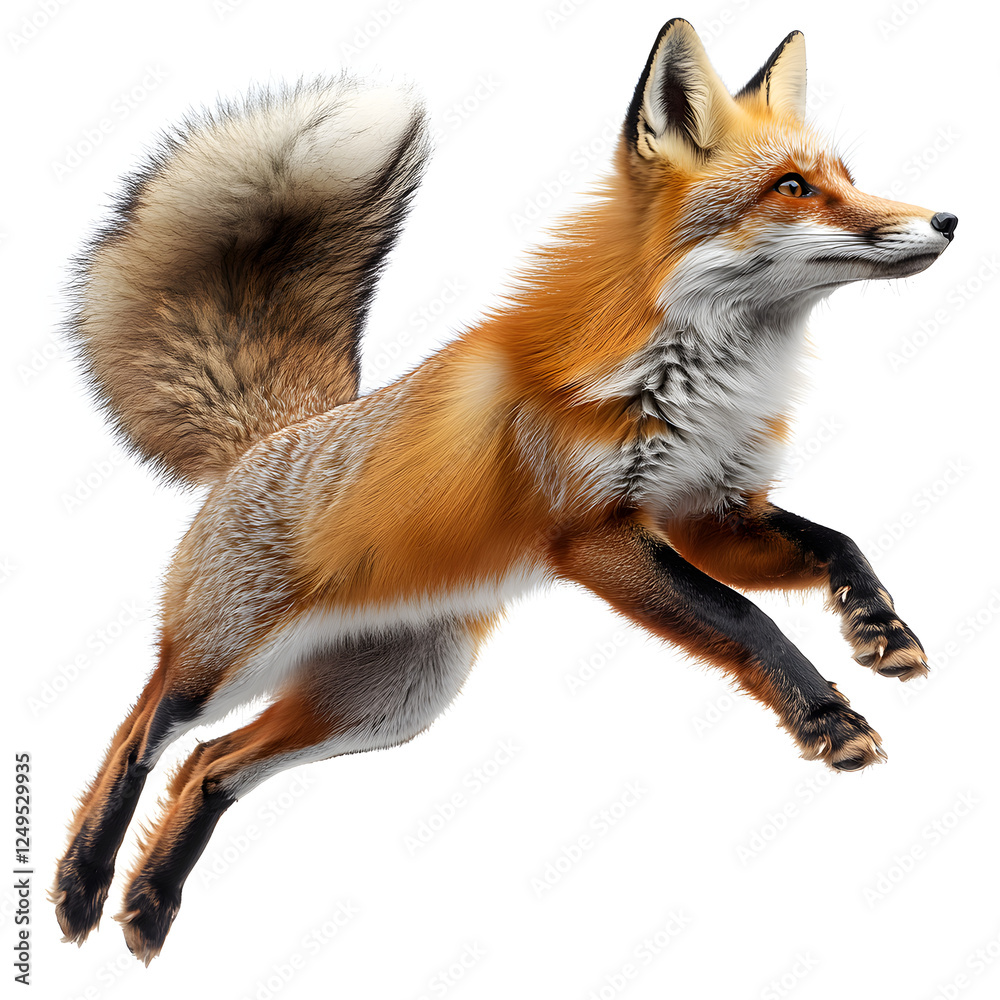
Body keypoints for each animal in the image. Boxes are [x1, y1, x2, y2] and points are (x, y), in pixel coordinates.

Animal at [52, 19, 957, 963]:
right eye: (793, 188)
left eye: (847, 178)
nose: (948, 219)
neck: (699, 377)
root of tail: (270, 437)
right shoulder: (594, 535)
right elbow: (747, 619)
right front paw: (826, 716)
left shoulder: (708, 513)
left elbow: (840, 542)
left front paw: (879, 625)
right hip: (226, 666)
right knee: (138, 734)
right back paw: (82, 886)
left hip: (394, 700)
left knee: (210, 766)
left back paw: (150, 901)